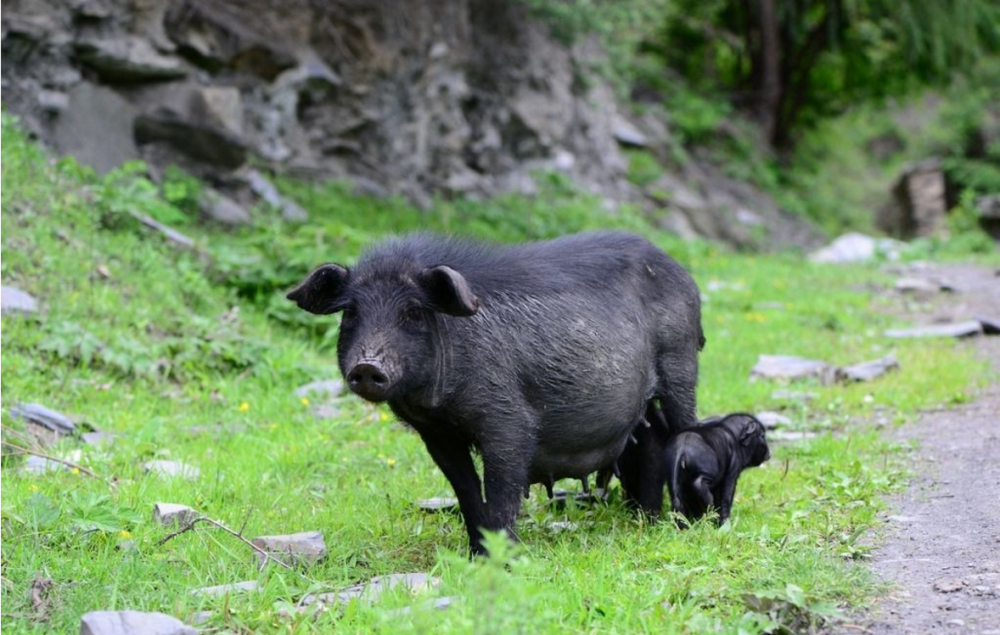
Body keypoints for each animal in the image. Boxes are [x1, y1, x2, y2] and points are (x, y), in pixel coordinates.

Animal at [286, 231, 700, 556]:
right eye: (351, 313)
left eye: (413, 313)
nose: (367, 365)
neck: (437, 404)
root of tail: (680, 270)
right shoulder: (438, 435)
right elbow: (467, 492)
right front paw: (475, 555)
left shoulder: (507, 419)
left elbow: (502, 489)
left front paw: (503, 559)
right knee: (651, 439)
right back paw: (645, 518)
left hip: (681, 362)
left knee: (683, 428)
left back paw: (686, 521)